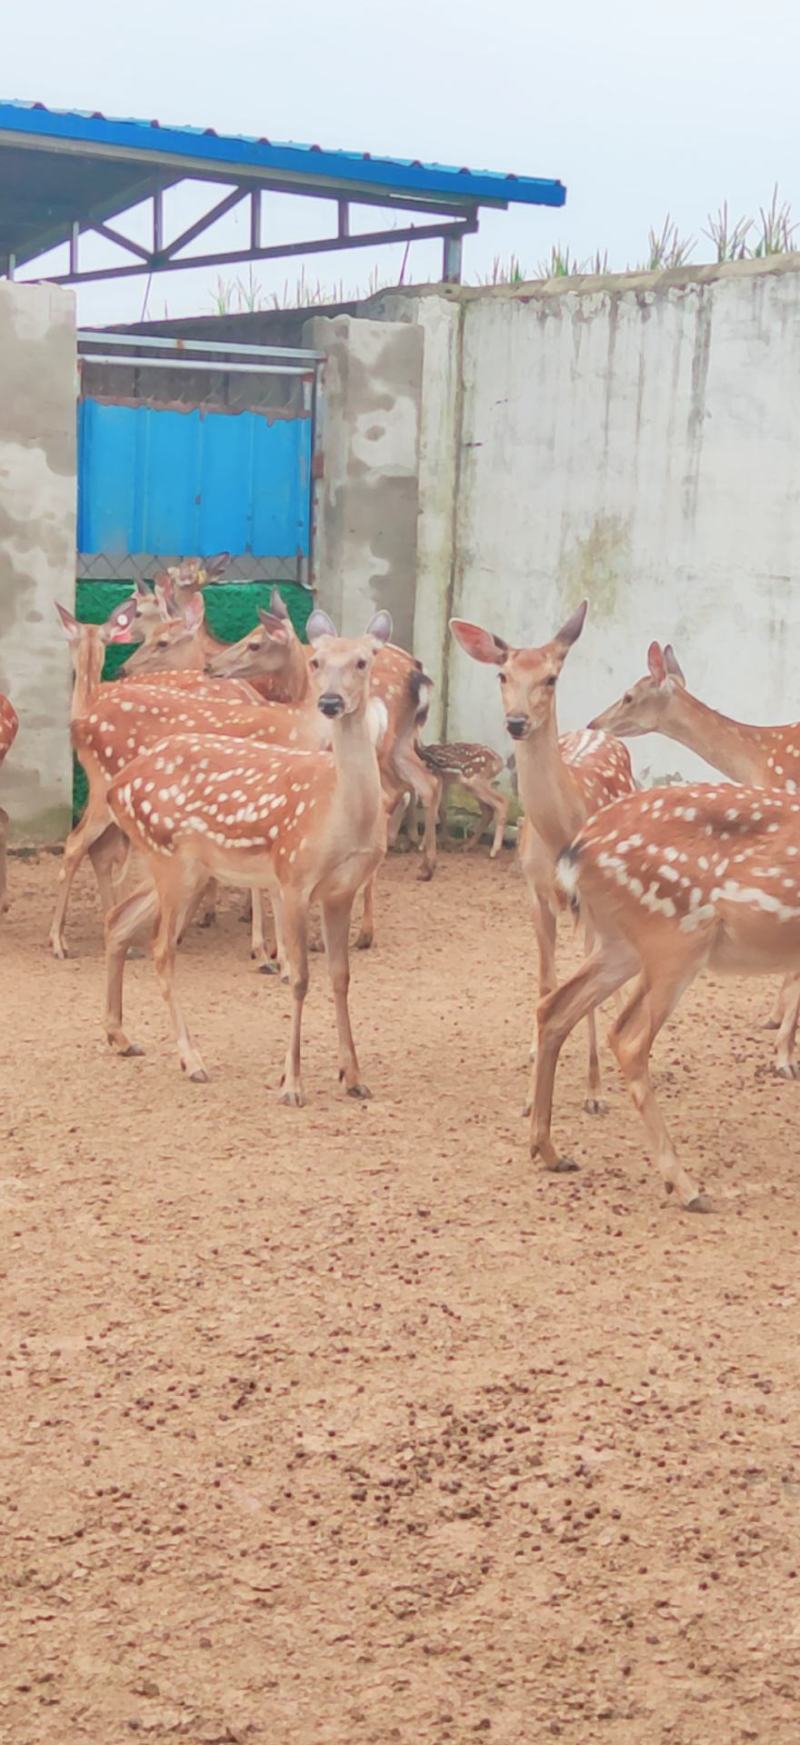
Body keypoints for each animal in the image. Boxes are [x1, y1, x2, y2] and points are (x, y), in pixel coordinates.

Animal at [103, 612, 392, 1103]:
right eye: (316, 661)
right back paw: (192, 1061)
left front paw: (353, 1077)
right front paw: (291, 1084)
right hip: (171, 860)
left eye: (362, 661)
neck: (338, 812)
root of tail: (114, 787)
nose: (331, 702)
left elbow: (341, 976)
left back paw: (120, 1037)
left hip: (180, 866)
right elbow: (301, 978)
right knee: (160, 948)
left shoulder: (342, 890)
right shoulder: (293, 877)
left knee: (119, 919)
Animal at [450, 603, 636, 1113]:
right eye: (502, 674)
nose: (516, 721)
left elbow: (584, 992)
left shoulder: (590, 903)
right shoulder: (534, 893)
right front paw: (532, 1093)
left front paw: (593, 1091)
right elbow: (546, 983)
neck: (559, 836)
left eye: (551, 677)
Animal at [530, 782, 800, 1212]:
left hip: (622, 945)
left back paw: (550, 1151)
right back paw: (687, 1186)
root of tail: (577, 849)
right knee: (628, 1038)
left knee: (554, 1008)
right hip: (676, 938)